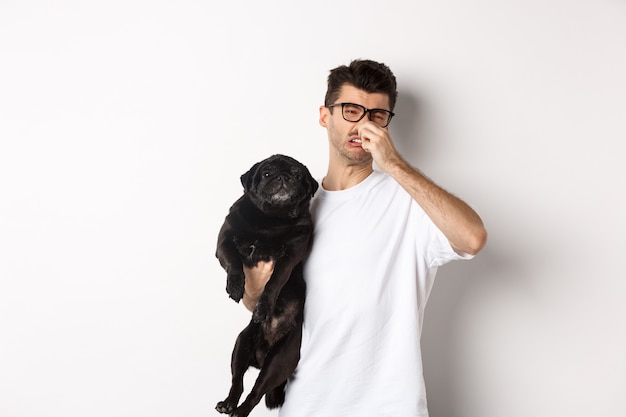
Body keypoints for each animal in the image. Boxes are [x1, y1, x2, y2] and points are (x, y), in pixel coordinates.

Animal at [216, 154, 316, 416]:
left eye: (297, 174)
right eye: (267, 173)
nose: (283, 177)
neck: (270, 220)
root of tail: (262, 357)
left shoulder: (289, 257)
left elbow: (275, 282)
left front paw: (263, 307)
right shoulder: (224, 242)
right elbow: (234, 262)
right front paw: (235, 286)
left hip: (278, 362)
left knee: (256, 392)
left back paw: (240, 410)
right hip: (240, 345)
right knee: (238, 382)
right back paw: (229, 403)